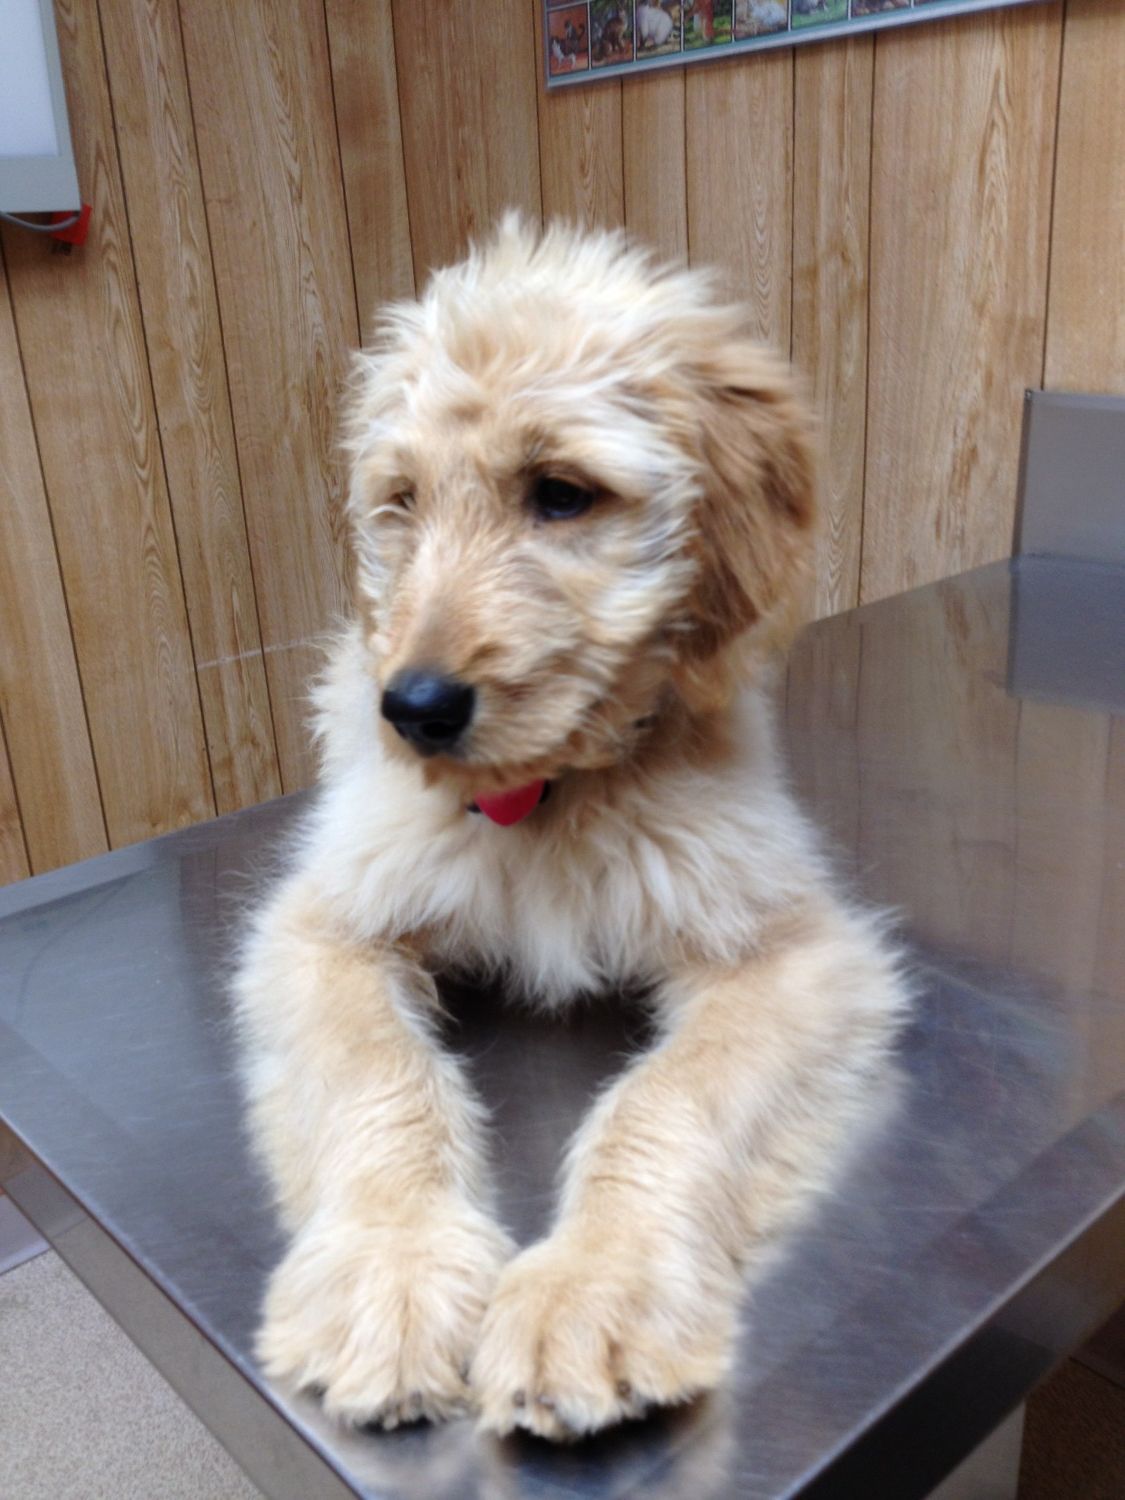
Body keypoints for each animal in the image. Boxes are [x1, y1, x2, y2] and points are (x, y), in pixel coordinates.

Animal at [235, 214, 906, 1440]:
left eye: (560, 494)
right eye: (401, 501)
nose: (412, 708)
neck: (541, 798)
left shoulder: (796, 955)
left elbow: (667, 1100)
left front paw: (595, 1287)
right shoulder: (322, 929)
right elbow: (378, 1078)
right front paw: (391, 1276)